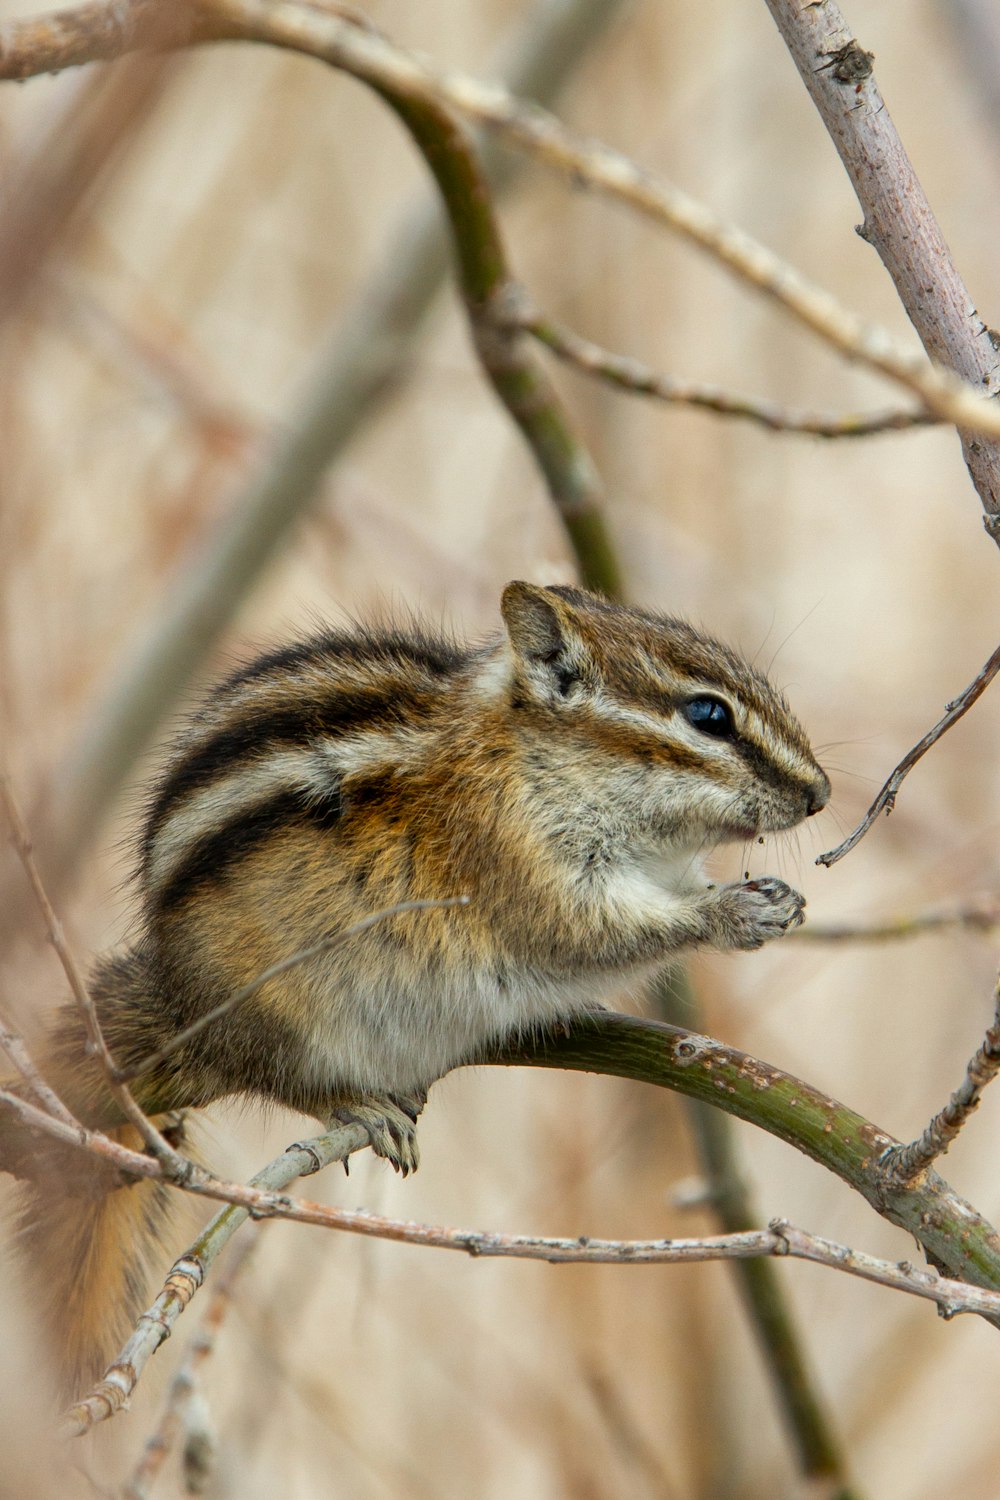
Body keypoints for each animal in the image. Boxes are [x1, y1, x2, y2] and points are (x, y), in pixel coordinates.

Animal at [3, 582, 827, 1392]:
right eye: (708, 715)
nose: (819, 794)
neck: (530, 757)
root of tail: (177, 1001)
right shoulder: (515, 861)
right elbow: (587, 936)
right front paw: (730, 913)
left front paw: (774, 898)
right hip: (281, 1013)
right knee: (278, 1074)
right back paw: (362, 1106)